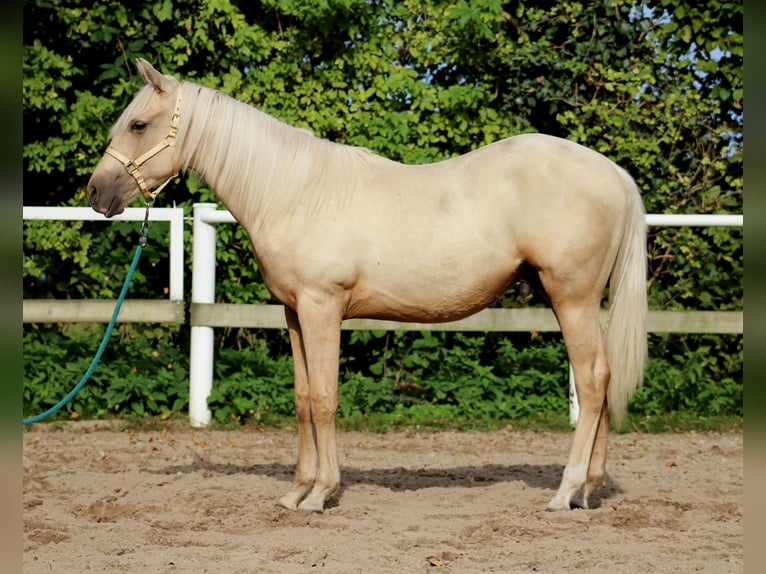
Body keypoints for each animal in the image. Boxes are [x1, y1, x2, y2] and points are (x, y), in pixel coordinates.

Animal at [87, 60, 648, 516]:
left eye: (138, 124)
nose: (96, 192)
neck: (291, 191)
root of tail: (615, 174)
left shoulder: (322, 308)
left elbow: (325, 398)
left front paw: (320, 494)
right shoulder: (293, 312)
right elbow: (302, 397)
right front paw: (296, 491)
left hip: (571, 297)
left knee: (592, 382)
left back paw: (565, 492)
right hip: (575, 300)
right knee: (601, 377)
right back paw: (589, 490)